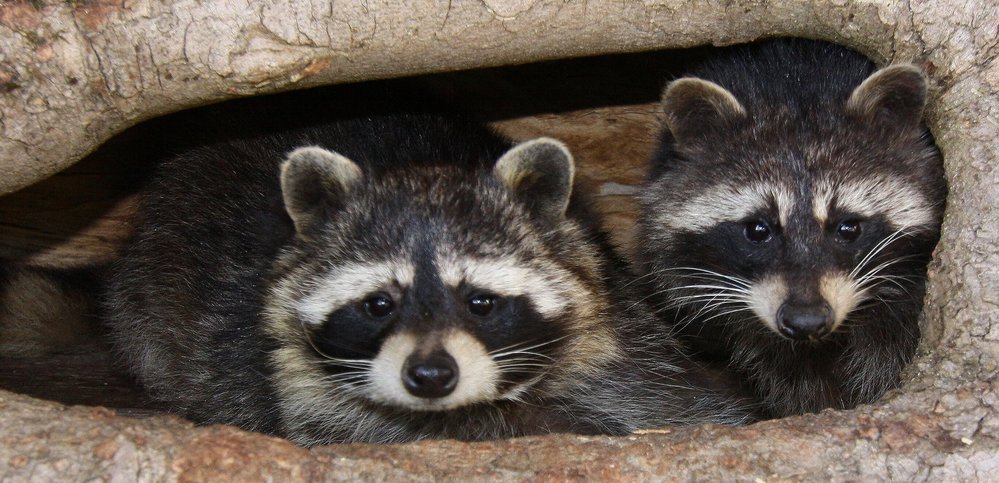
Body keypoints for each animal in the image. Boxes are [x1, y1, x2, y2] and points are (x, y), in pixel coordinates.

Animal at [109, 104, 752, 448]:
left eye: (480, 302)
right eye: (379, 305)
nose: (430, 376)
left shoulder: (628, 347)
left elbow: (665, 408)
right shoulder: (303, 393)